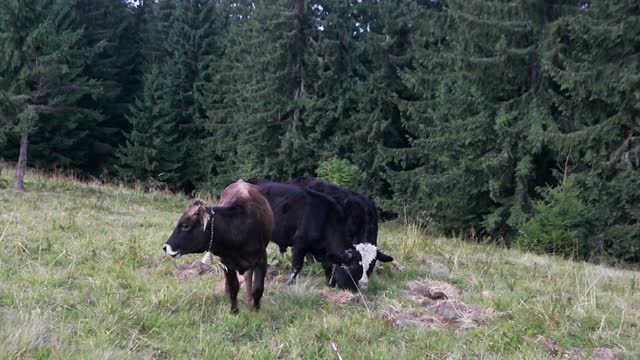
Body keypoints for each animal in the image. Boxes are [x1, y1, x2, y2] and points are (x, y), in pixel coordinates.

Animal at [162, 181, 272, 314]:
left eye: (185, 225)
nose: (166, 247)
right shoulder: (227, 262)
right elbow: (233, 286)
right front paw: (234, 311)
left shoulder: (261, 259)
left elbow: (258, 289)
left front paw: (255, 311)